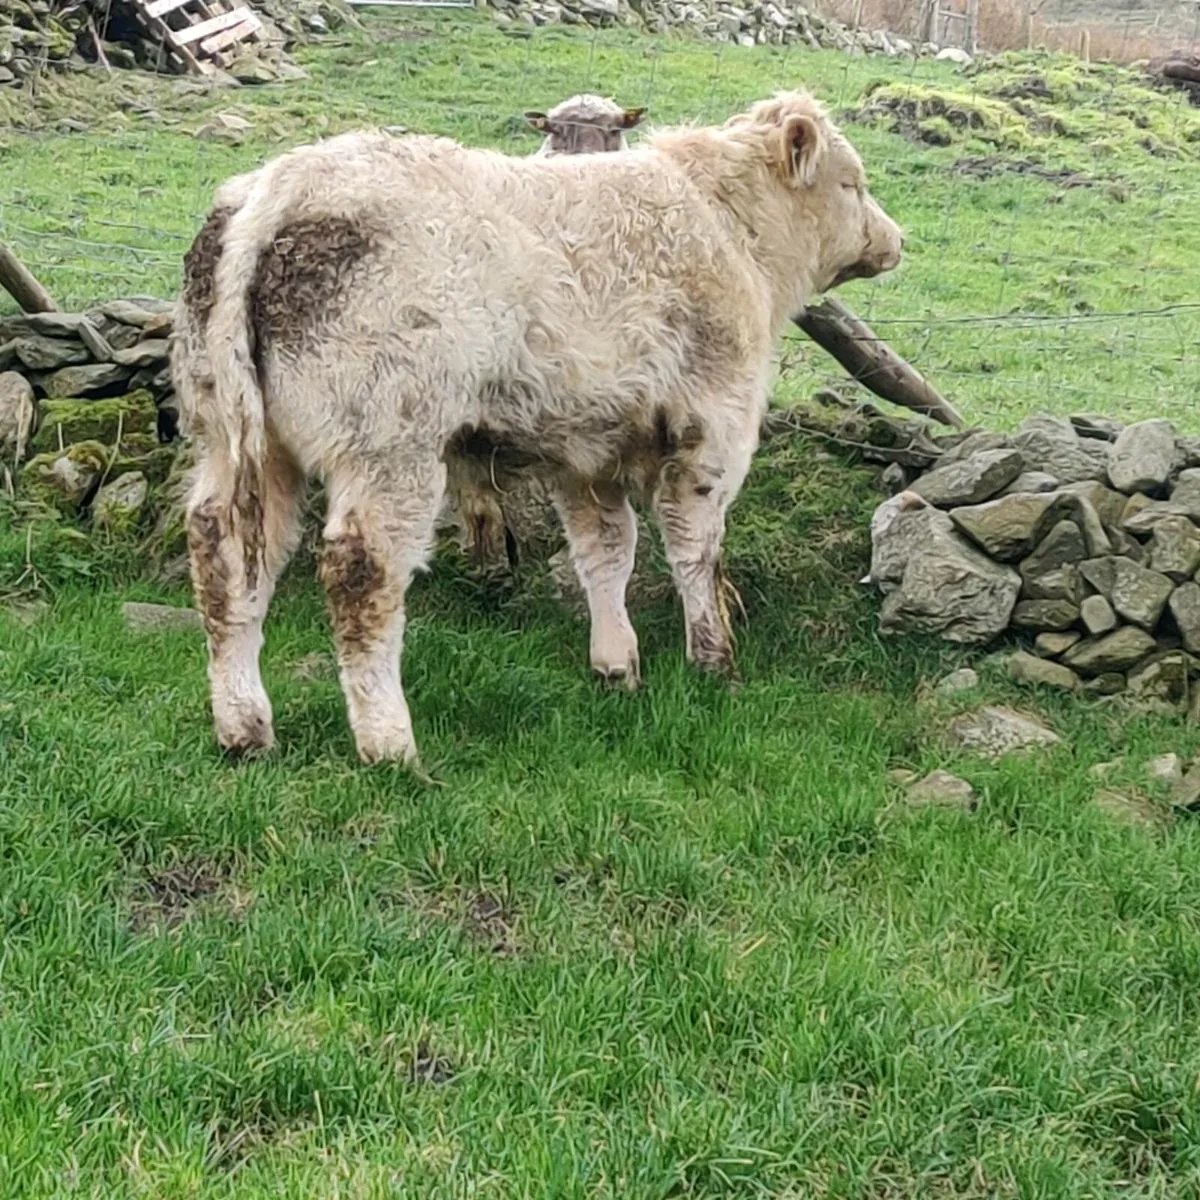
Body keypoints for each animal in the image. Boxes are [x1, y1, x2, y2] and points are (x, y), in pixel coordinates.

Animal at [178, 90, 903, 766]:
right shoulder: (712, 425)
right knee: (360, 571)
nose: (895, 239)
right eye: (851, 183)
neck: (731, 235)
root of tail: (285, 182)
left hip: (237, 439)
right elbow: (694, 548)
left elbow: (605, 549)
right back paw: (389, 744)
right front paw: (713, 660)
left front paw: (616, 664)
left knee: (225, 553)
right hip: (388, 447)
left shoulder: (586, 451)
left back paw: (244, 729)